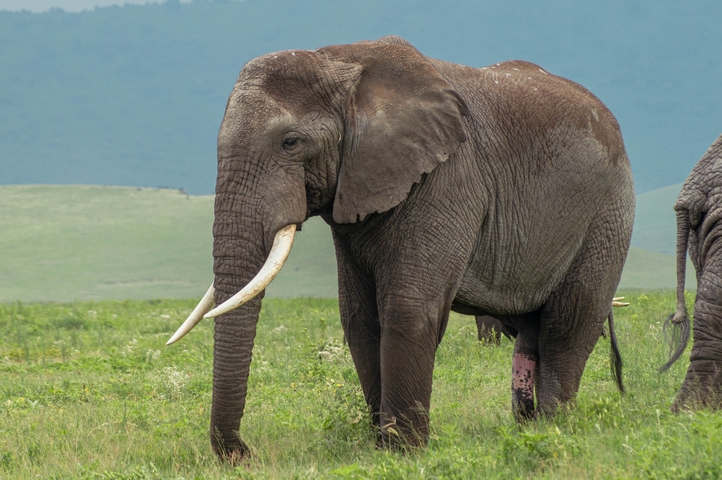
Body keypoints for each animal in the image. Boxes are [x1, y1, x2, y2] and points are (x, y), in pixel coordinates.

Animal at [167, 35, 635, 460]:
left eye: (290, 142)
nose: (243, 453)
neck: (339, 62)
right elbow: (359, 316)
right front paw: (382, 446)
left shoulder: (448, 176)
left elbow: (407, 308)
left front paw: (403, 451)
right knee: (530, 331)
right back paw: (528, 430)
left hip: (607, 214)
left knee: (568, 323)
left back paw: (555, 430)